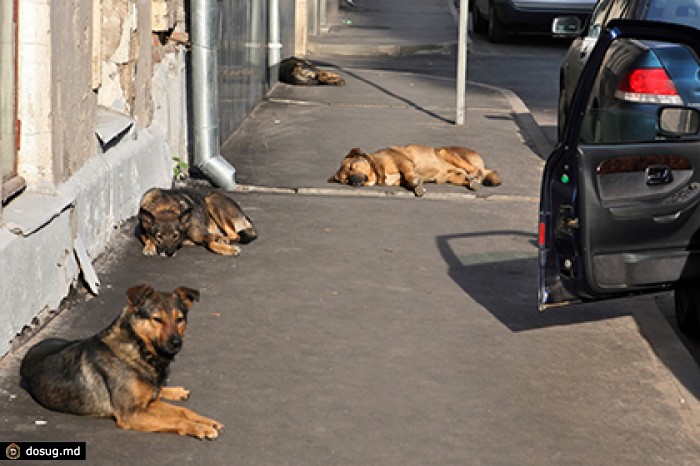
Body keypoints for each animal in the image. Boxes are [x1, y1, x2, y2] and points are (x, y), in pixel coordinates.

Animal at [19, 284, 223, 440]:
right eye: (157, 319)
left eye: (179, 319)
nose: (176, 343)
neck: (138, 347)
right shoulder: (132, 413)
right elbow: (176, 419)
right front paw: (200, 428)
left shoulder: (148, 404)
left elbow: (183, 411)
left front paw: (206, 421)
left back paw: (175, 391)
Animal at [330, 143, 504, 196]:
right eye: (345, 180)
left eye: (352, 167)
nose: (353, 181)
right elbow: (407, 182)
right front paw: (416, 186)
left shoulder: (403, 162)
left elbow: (409, 175)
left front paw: (416, 183)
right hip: (451, 176)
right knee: (467, 177)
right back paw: (471, 182)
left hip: (445, 152)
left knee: (477, 171)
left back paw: (476, 176)